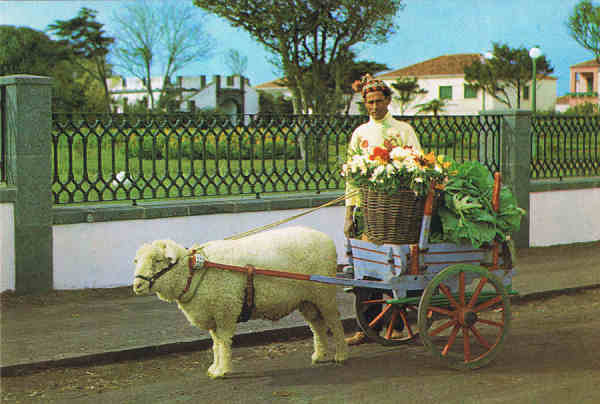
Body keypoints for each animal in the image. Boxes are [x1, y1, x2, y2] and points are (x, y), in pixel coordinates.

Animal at [131, 226, 346, 380]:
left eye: (158, 260)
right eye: (136, 260)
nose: (137, 285)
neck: (194, 272)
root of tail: (326, 238)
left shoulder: (225, 311)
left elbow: (224, 342)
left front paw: (222, 370)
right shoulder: (213, 315)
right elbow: (216, 344)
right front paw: (215, 367)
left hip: (324, 293)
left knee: (334, 322)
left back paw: (341, 354)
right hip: (307, 299)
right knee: (317, 326)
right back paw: (319, 355)